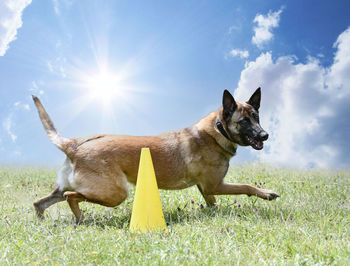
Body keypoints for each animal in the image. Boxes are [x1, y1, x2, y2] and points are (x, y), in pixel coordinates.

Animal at [32, 88, 278, 223]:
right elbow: (247, 186)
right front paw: (267, 193)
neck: (218, 130)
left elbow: (213, 204)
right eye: (244, 121)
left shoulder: (207, 189)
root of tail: (74, 145)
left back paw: (46, 221)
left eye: (256, 117)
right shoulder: (214, 185)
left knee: (40, 203)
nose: (265, 135)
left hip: (68, 188)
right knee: (71, 196)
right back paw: (80, 218)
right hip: (114, 193)